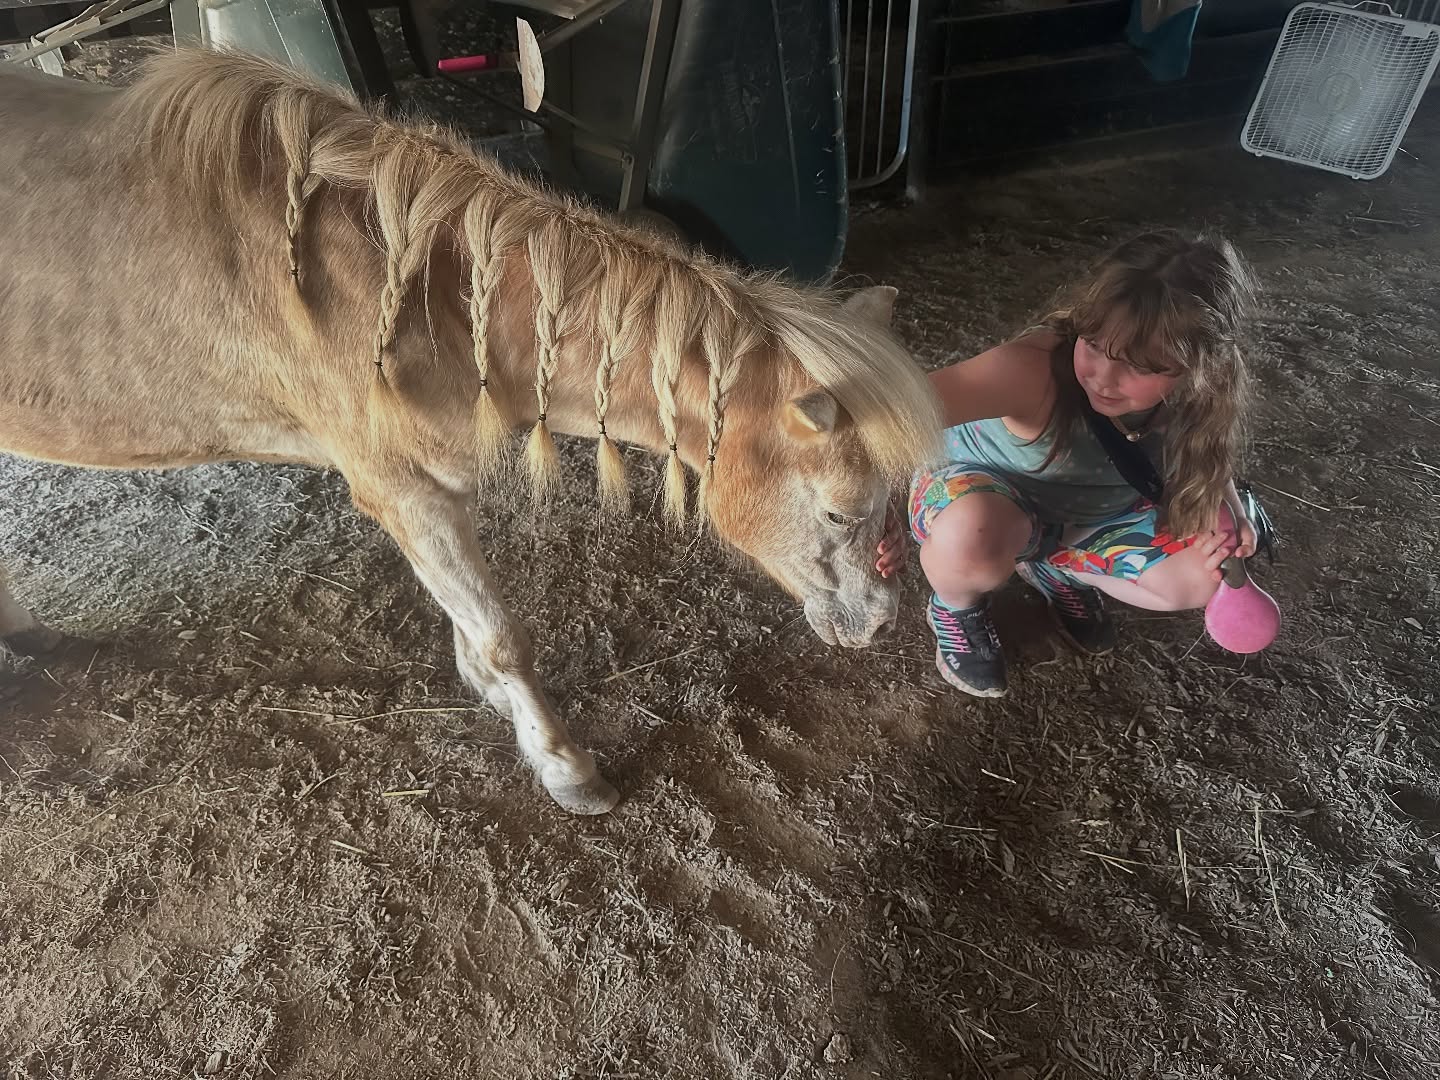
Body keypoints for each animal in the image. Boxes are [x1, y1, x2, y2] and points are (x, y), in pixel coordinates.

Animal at [0, 50, 940, 814]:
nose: (880, 624)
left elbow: (471, 621)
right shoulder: (402, 490)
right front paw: (566, 770)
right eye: (840, 510)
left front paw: (488, 695)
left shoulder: (437, 489)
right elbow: (502, 636)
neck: (403, 284)